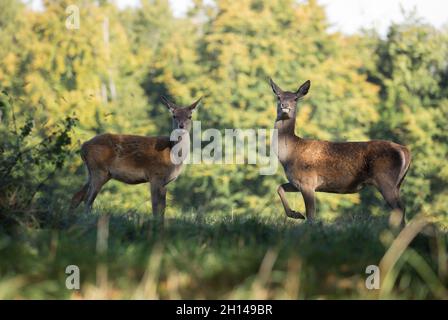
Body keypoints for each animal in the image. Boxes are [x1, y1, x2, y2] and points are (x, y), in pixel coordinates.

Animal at [68, 95, 201, 220]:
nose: (181, 126)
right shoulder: (155, 175)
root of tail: (83, 146)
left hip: (94, 172)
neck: (172, 154)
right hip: (99, 170)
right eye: (174, 115)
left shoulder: (164, 183)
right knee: (88, 200)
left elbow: (162, 209)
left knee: (77, 196)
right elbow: (155, 207)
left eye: (189, 116)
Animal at [268, 78, 412, 228]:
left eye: (295, 99)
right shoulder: (297, 182)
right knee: (401, 208)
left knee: (400, 208)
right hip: (397, 184)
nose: (285, 105)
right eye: (278, 97)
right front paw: (295, 214)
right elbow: (279, 187)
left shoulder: (308, 181)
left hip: (386, 179)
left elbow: (311, 216)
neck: (289, 155)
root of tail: (405, 150)